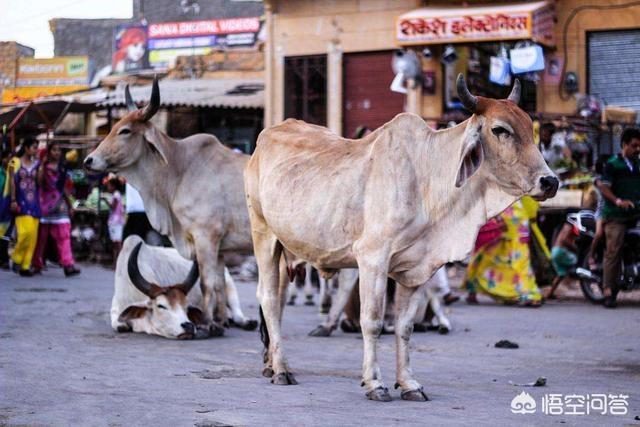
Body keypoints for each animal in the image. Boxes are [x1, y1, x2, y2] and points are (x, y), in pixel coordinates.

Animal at [112, 236, 255, 340]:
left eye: (186, 306)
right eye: (161, 306)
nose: (188, 326)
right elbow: (120, 326)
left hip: (228, 282)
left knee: (237, 314)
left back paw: (248, 322)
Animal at [242, 75, 556, 402]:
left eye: (529, 126)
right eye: (500, 130)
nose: (550, 181)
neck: (428, 178)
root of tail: (267, 136)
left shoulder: (417, 268)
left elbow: (405, 327)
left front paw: (409, 384)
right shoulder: (372, 258)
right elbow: (373, 321)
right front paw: (374, 383)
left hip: (284, 247)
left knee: (277, 301)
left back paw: (271, 364)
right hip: (263, 234)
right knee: (268, 298)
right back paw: (281, 369)